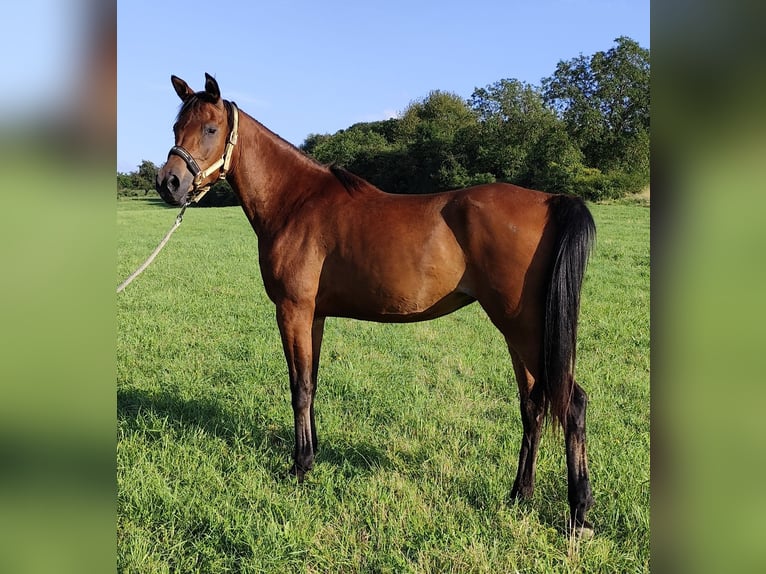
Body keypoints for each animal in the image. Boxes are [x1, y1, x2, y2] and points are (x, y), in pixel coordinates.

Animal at [156, 74, 600, 536]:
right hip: (521, 333)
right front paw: (313, 453)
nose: (168, 183)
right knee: (533, 404)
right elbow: (313, 382)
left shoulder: (293, 310)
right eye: (176, 127)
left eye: (210, 128)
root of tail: (550, 200)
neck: (295, 202)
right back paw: (519, 494)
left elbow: (299, 387)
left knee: (572, 403)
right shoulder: (315, 315)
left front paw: (299, 466)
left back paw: (578, 512)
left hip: (525, 329)